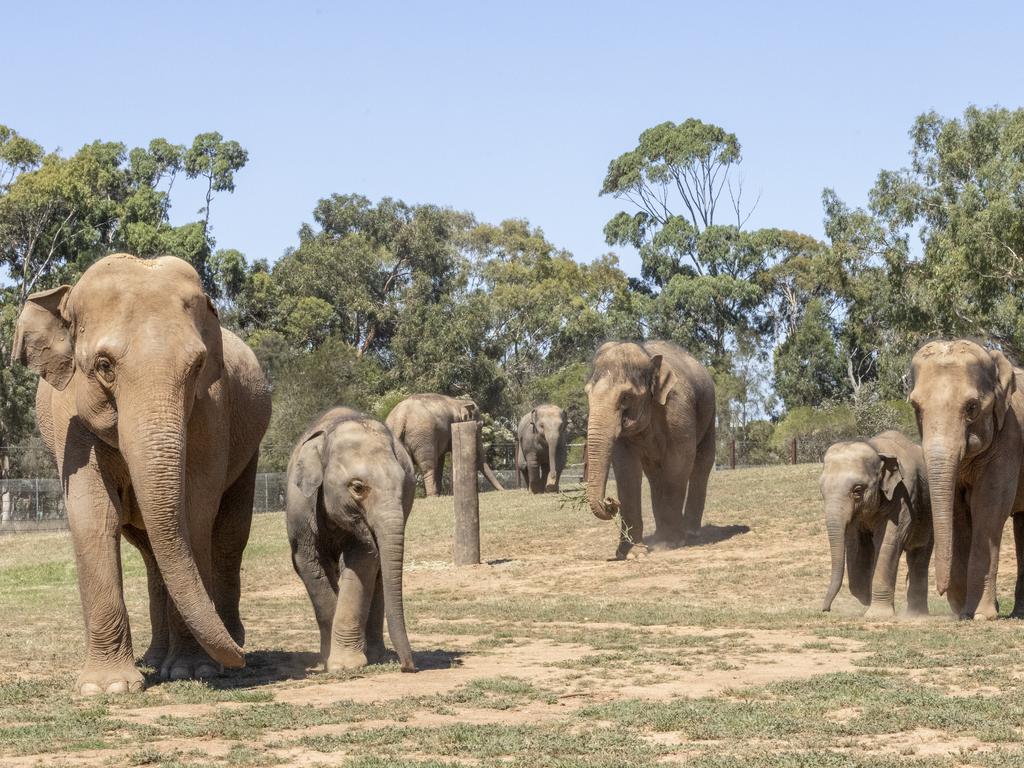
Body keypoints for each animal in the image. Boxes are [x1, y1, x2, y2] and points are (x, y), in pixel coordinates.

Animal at [9, 256, 272, 696]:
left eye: (197, 366)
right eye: (103, 366)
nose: (237, 655)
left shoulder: (210, 412)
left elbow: (194, 516)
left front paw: (193, 671)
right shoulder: (70, 423)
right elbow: (94, 517)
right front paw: (108, 688)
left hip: (249, 448)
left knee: (229, 537)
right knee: (152, 554)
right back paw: (156, 658)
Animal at [284, 409, 415, 671]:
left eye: (405, 485)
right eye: (357, 487)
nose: (408, 666)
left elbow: (362, 563)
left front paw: (346, 663)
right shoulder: (300, 510)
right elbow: (309, 564)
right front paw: (333, 662)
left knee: (379, 574)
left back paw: (375, 654)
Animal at [581, 342, 716, 561]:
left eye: (625, 397)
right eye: (587, 395)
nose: (610, 501)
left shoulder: (678, 411)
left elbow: (679, 462)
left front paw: (669, 544)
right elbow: (626, 471)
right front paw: (631, 553)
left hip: (710, 411)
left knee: (702, 464)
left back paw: (689, 533)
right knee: (654, 475)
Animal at [819, 434, 933, 618]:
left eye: (857, 490)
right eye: (821, 491)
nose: (826, 610)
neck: (876, 449)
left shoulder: (903, 494)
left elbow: (888, 542)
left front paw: (877, 614)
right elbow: (857, 545)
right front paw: (867, 600)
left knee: (920, 551)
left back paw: (916, 615)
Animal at [913, 342, 1024, 618]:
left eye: (972, 407)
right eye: (916, 408)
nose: (941, 591)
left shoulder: (1009, 438)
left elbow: (988, 507)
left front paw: (982, 615)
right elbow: (958, 513)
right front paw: (965, 613)